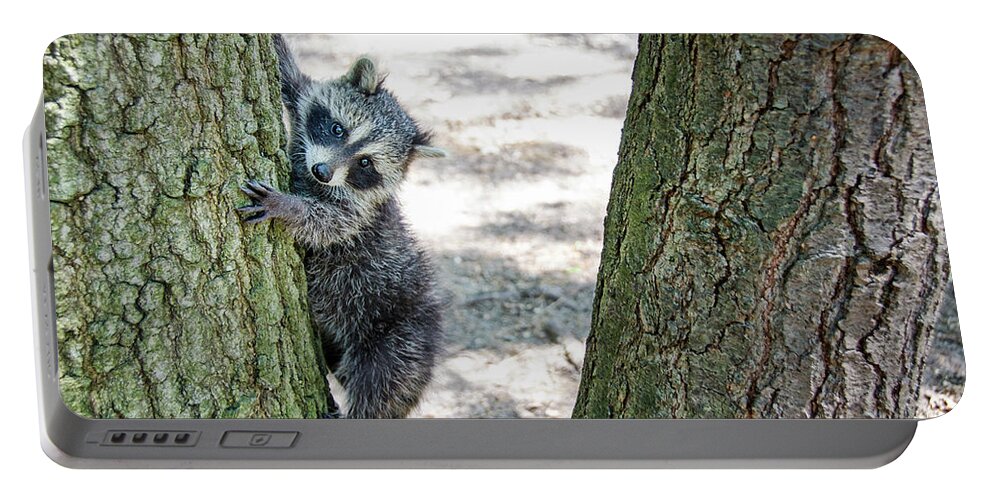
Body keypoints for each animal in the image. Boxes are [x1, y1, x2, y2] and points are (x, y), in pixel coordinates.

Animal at [238, 35, 444, 418]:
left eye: (365, 163)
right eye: (338, 129)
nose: (322, 171)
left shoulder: (359, 215)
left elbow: (327, 224)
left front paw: (288, 207)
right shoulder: (304, 107)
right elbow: (290, 79)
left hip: (402, 335)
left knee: (382, 385)